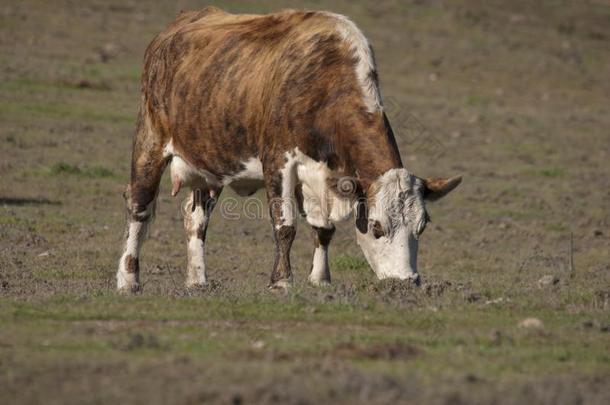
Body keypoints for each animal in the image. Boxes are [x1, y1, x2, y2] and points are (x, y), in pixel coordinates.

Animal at [114, 5, 458, 290]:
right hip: (150, 141)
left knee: (196, 219)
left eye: (422, 226)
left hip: (209, 163)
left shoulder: (322, 178)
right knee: (139, 206)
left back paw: (198, 280)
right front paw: (281, 281)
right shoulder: (278, 162)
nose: (407, 281)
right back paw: (128, 279)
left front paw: (320, 279)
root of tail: (173, 30)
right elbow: (285, 225)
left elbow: (323, 230)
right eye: (376, 227)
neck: (323, 83)